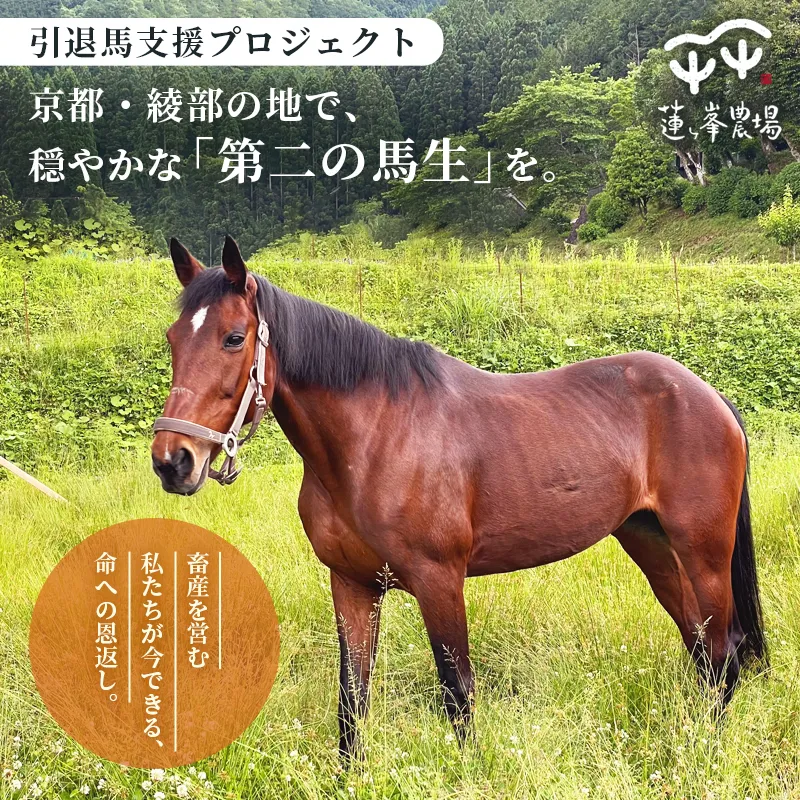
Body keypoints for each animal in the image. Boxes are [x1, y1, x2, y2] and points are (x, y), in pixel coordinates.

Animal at [151, 236, 767, 757]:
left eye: (234, 338)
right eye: (174, 339)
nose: (172, 460)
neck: (375, 435)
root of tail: (708, 395)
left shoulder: (438, 579)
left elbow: (457, 689)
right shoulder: (351, 583)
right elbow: (352, 695)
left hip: (704, 554)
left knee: (724, 650)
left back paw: (708, 749)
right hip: (652, 546)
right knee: (702, 647)